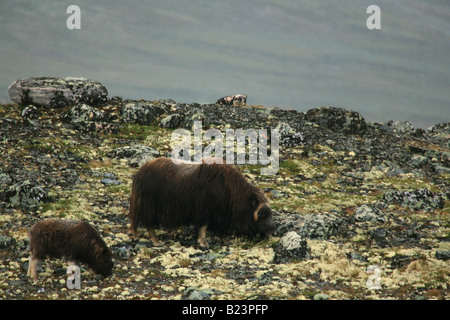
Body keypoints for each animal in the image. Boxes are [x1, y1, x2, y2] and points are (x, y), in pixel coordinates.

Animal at [128, 157, 276, 248]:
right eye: (263, 213)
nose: (273, 233)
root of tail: (141, 171)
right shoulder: (205, 212)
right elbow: (203, 227)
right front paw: (203, 243)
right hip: (149, 206)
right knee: (148, 224)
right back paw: (155, 241)